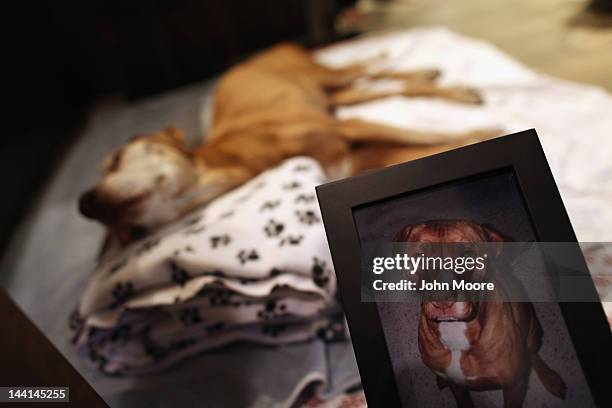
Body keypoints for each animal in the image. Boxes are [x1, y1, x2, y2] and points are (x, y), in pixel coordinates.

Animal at [77, 43, 498, 244]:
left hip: (323, 77)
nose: (85, 204)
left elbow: (433, 137)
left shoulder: (347, 130)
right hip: (333, 95)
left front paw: (485, 134)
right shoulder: (356, 157)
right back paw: (436, 80)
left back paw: (433, 76)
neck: (237, 158)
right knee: (376, 86)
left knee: (365, 69)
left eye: (115, 159)